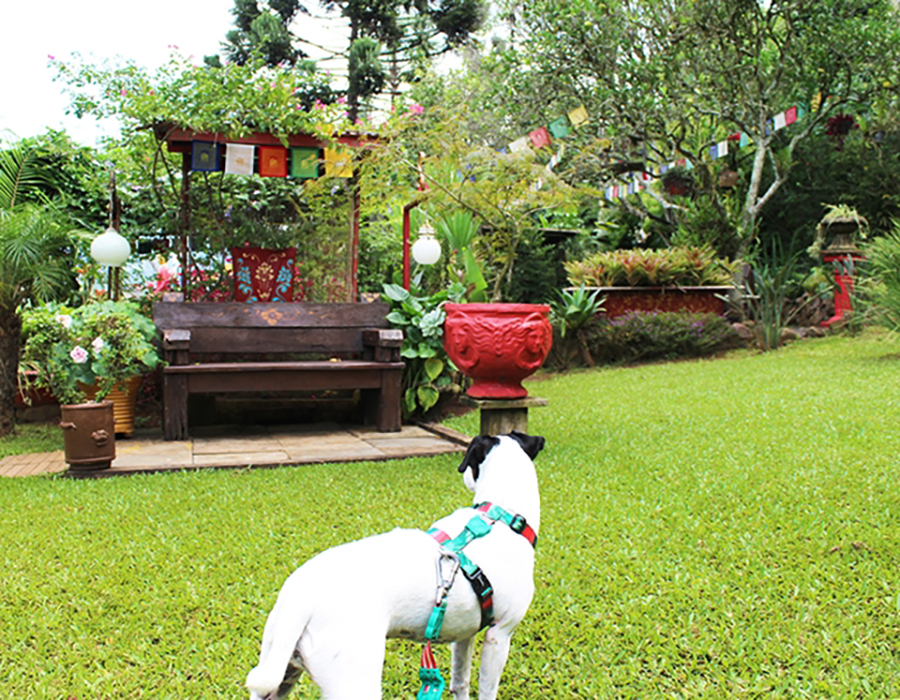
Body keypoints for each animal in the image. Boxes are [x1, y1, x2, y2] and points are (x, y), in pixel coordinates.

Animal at [244, 430, 548, 696]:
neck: (502, 514)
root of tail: (302, 597)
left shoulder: (465, 634)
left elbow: (460, 683)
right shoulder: (500, 635)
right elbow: (487, 689)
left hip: (279, 670)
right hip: (354, 680)